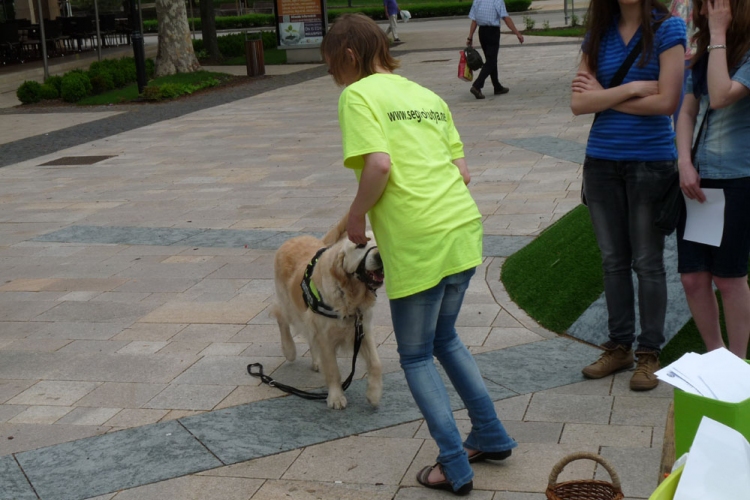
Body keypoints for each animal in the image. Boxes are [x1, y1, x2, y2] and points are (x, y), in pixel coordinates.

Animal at [270, 216, 384, 410]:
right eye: (360, 245)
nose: (379, 256)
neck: (348, 294)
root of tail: (293, 239)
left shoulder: (363, 329)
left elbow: (376, 364)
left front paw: (373, 394)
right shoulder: (325, 336)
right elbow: (332, 370)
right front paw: (336, 397)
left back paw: (316, 361)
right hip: (291, 306)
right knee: (280, 315)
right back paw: (289, 349)